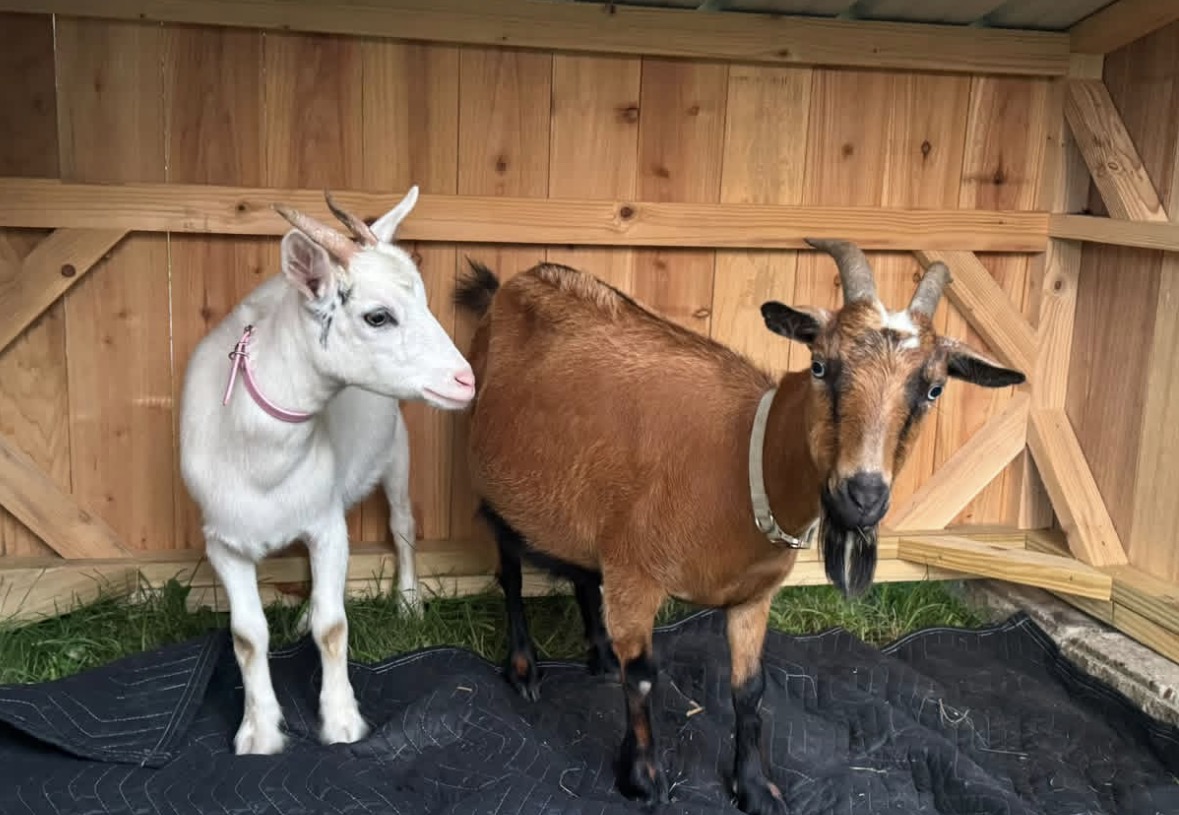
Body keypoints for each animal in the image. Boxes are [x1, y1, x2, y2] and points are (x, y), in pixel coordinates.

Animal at [179, 187, 475, 756]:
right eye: (378, 316)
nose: (465, 380)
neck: (260, 456)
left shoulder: (328, 526)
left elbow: (333, 626)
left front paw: (341, 724)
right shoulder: (222, 543)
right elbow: (247, 636)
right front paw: (259, 733)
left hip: (397, 450)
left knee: (402, 524)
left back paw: (408, 604)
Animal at [452, 240, 1025, 814]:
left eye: (933, 389)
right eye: (821, 365)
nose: (862, 495)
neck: (743, 462)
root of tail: (512, 284)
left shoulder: (752, 596)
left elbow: (750, 689)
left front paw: (755, 787)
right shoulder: (636, 574)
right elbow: (643, 678)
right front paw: (643, 778)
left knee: (582, 571)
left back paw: (599, 650)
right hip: (494, 487)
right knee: (511, 574)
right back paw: (524, 669)